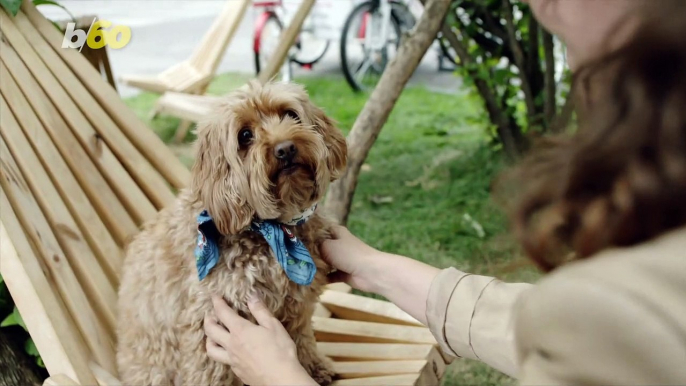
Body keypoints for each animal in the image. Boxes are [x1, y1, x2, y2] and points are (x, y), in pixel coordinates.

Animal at [116, 80, 350, 384]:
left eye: (290, 114)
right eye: (245, 136)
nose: (286, 148)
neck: (269, 229)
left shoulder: (296, 305)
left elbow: (300, 339)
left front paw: (313, 366)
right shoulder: (209, 318)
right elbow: (209, 373)